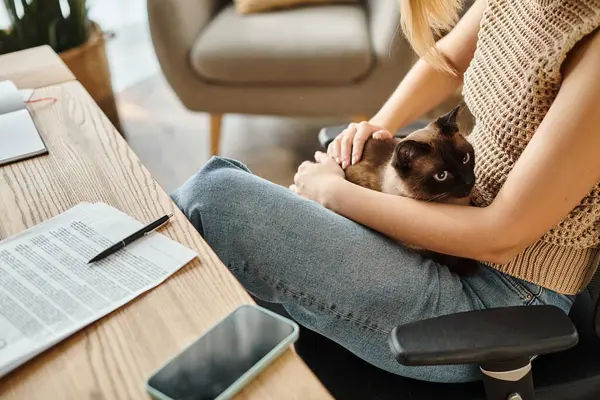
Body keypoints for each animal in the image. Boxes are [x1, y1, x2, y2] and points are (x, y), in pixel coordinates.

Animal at [346, 104, 478, 276]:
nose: (469, 182)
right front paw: (465, 266)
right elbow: (450, 259)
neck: (456, 205)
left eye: (465, 159)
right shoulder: (422, 250)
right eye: (441, 175)